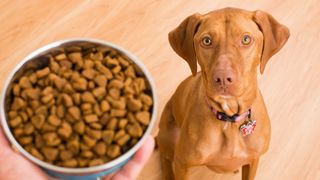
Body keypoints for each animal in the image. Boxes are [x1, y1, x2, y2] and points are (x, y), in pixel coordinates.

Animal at [157, 7, 290, 180]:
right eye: (207, 41)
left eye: (246, 39)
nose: (223, 79)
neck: (230, 119)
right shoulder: (182, 164)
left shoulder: (253, 160)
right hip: (169, 137)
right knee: (164, 157)